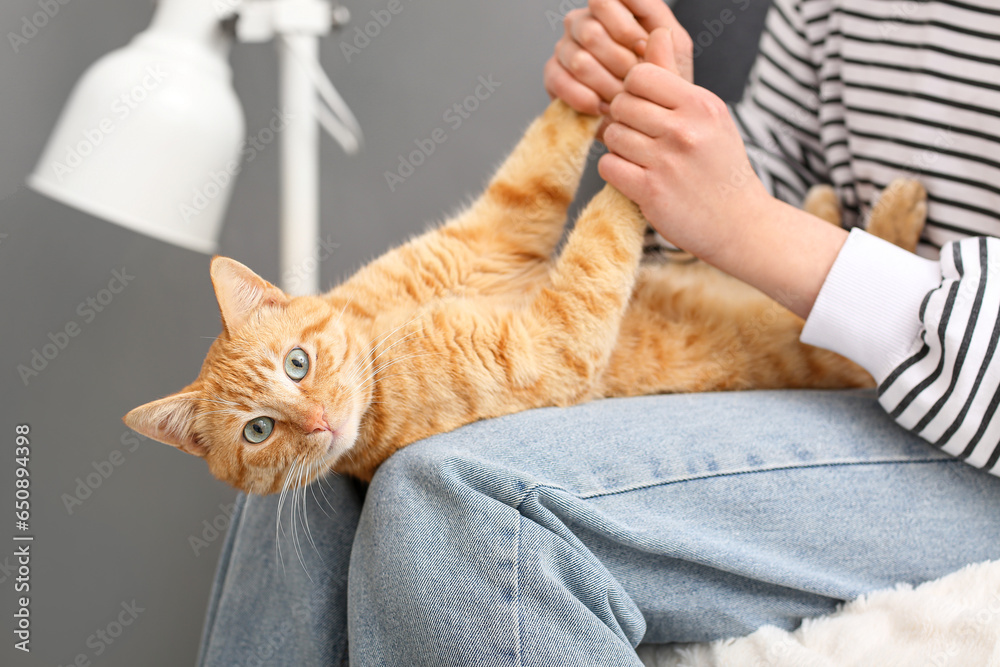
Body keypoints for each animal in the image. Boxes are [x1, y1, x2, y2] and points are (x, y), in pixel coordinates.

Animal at [127, 100, 928, 496]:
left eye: (297, 363)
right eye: (259, 432)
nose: (320, 419)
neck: (383, 334)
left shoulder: (507, 222)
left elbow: (548, 147)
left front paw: (614, 57)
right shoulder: (555, 339)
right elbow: (602, 225)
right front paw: (642, 164)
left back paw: (830, 200)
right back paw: (896, 207)